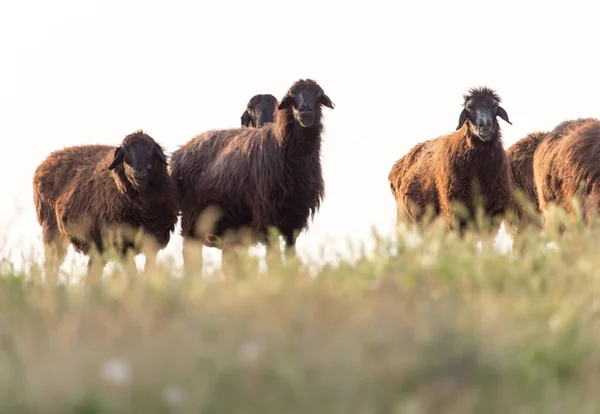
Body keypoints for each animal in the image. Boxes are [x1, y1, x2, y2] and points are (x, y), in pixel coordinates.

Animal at [32, 131, 178, 284]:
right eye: (126, 150)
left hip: (96, 247)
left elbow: (148, 270)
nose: (139, 173)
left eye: (151, 149)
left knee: (93, 272)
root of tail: (47, 160)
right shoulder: (121, 245)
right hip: (52, 232)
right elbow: (133, 273)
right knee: (52, 266)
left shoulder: (153, 243)